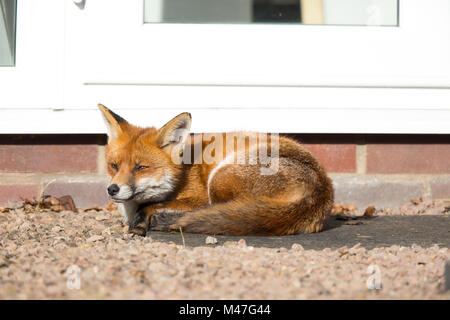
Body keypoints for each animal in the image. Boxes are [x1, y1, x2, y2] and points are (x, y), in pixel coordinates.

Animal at [100, 104, 336, 236]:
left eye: (141, 167)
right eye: (114, 166)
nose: (112, 189)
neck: (183, 173)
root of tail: (322, 189)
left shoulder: (198, 196)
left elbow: (152, 205)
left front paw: (144, 219)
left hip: (219, 178)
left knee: (218, 210)